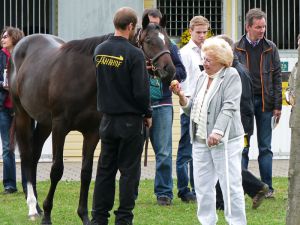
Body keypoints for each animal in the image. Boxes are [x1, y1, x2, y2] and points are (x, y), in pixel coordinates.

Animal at [9, 16, 176, 225]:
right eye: (149, 41)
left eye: (167, 40)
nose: (170, 70)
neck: (82, 76)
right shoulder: (60, 127)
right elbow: (56, 170)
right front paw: (47, 215)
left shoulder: (92, 132)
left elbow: (87, 173)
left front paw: (84, 216)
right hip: (23, 115)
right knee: (26, 156)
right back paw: (33, 207)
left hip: (45, 122)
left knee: (35, 155)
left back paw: (37, 206)